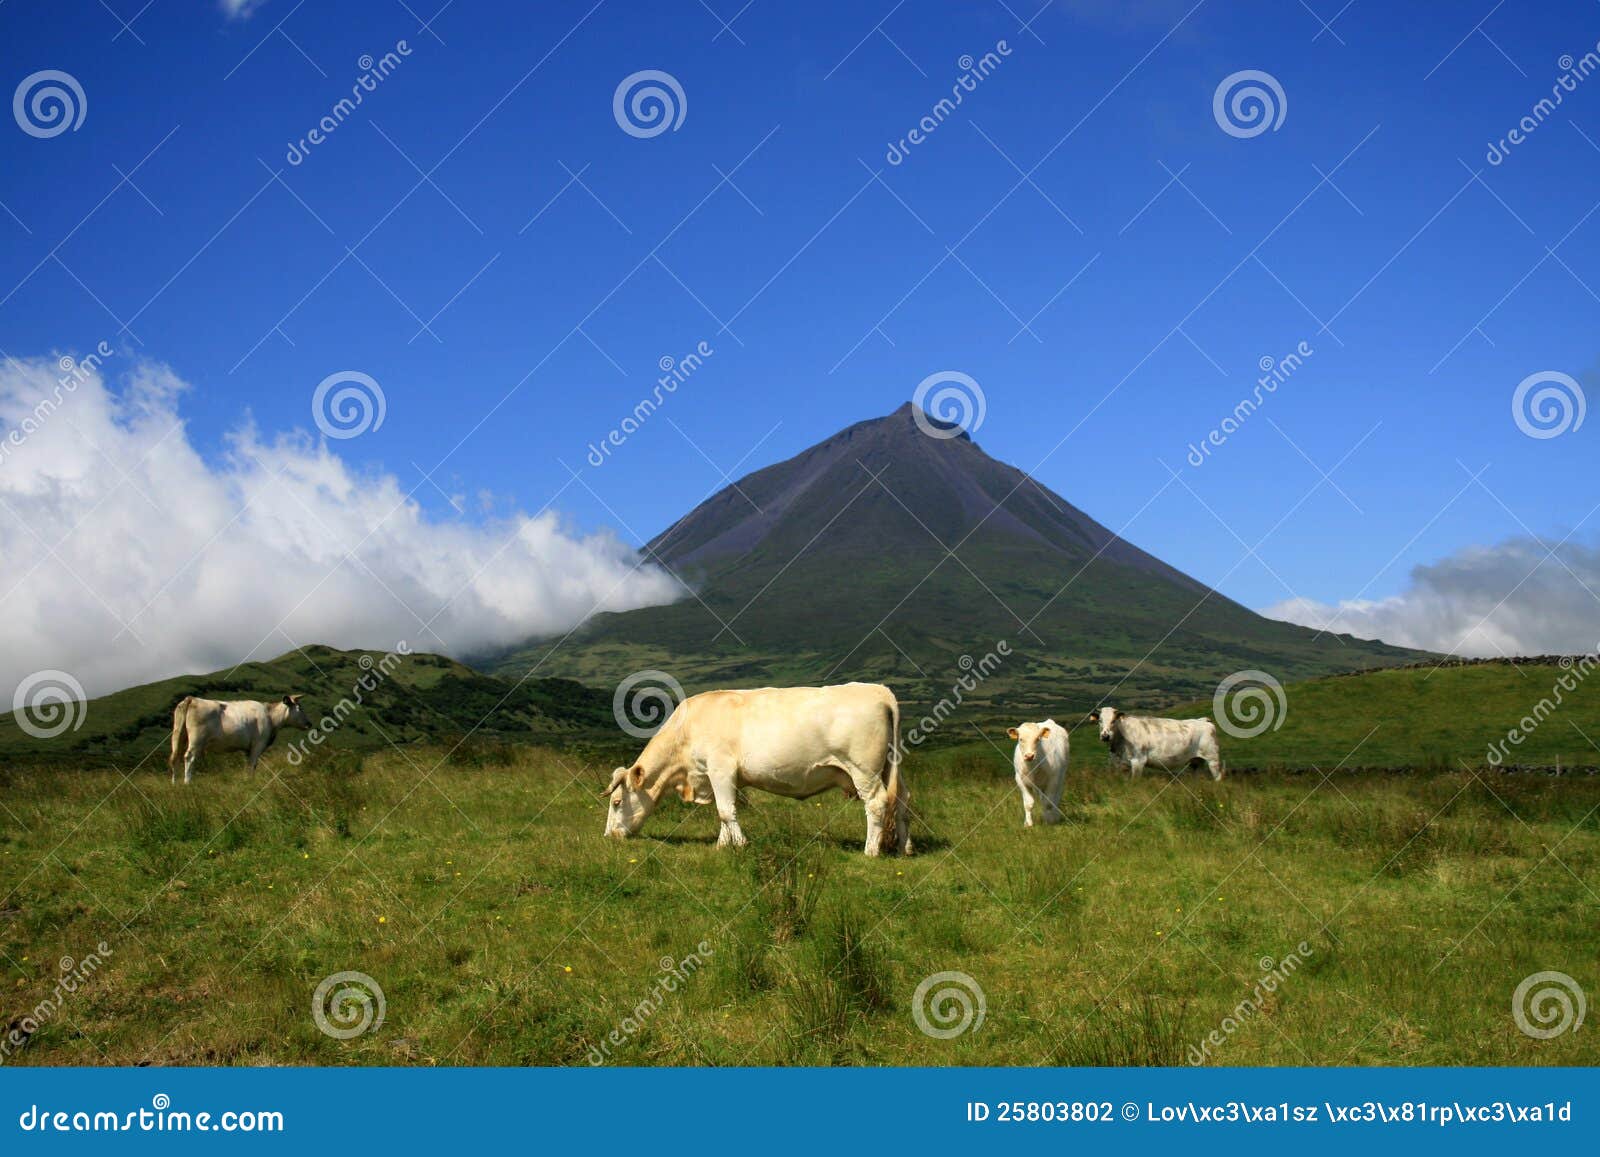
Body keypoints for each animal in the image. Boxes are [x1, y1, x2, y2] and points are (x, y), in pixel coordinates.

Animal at [169, 697, 312, 787]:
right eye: (299, 708)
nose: (309, 723)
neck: (270, 717)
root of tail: (192, 698)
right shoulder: (258, 744)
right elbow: (252, 764)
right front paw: (250, 782)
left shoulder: (247, 749)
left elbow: (248, 765)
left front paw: (246, 779)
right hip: (196, 740)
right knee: (189, 757)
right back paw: (187, 782)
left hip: (178, 735)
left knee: (175, 758)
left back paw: (174, 783)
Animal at [601, 684, 915, 857]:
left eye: (616, 802)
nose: (608, 837)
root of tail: (879, 690)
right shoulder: (720, 777)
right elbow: (724, 812)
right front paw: (722, 845)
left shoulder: (720, 768)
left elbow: (726, 811)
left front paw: (741, 844)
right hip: (893, 767)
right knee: (903, 801)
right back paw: (904, 848)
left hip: (864, 769)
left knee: (877, 803)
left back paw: (871, 851)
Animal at [1088, 700, 1222, 784]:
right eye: (1100, 720)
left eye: (1114, 720)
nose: (1105, 736)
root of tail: (1203, 720)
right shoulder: (1120, 764)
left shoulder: (1138, 761)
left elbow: (1134, 782)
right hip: (1196, 761)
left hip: (1212, 758)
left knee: (1218, 777)